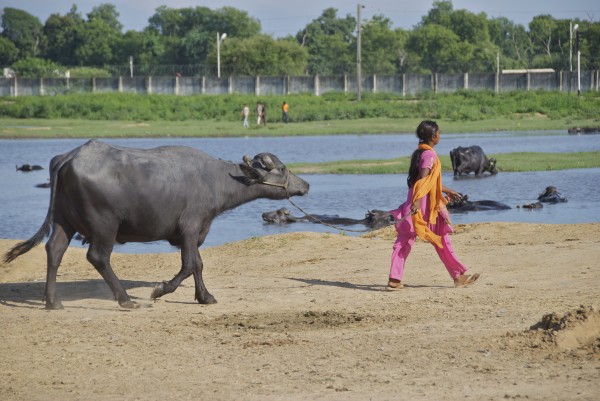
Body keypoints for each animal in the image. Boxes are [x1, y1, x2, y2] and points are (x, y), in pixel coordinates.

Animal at [5, 141, 310, 310]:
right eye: (283, 169)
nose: (305, 184)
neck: (217, 179)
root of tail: (68, 158)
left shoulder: (197, 231)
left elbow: (199, 265)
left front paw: (205, 297)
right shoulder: (191, 227)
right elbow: (188, 265)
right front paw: (159, 290)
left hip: (64, 221)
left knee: (54, 251)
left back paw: (52, 302)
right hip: (104, 224)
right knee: (98, 257)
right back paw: (125, 300)